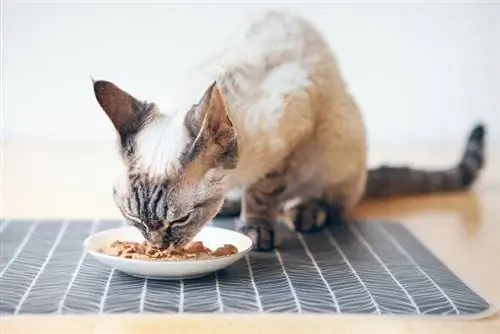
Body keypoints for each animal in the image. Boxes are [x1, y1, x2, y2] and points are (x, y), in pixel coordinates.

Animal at [92, 9, 486, 250]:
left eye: (181, 220)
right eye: (134, 220)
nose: (157, 246)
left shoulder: (291, 137)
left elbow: (264, 193)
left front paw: (256, 229)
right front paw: (238, 208)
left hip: (336, 145)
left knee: (334, 201)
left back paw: (306, 212)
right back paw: (233, 205)